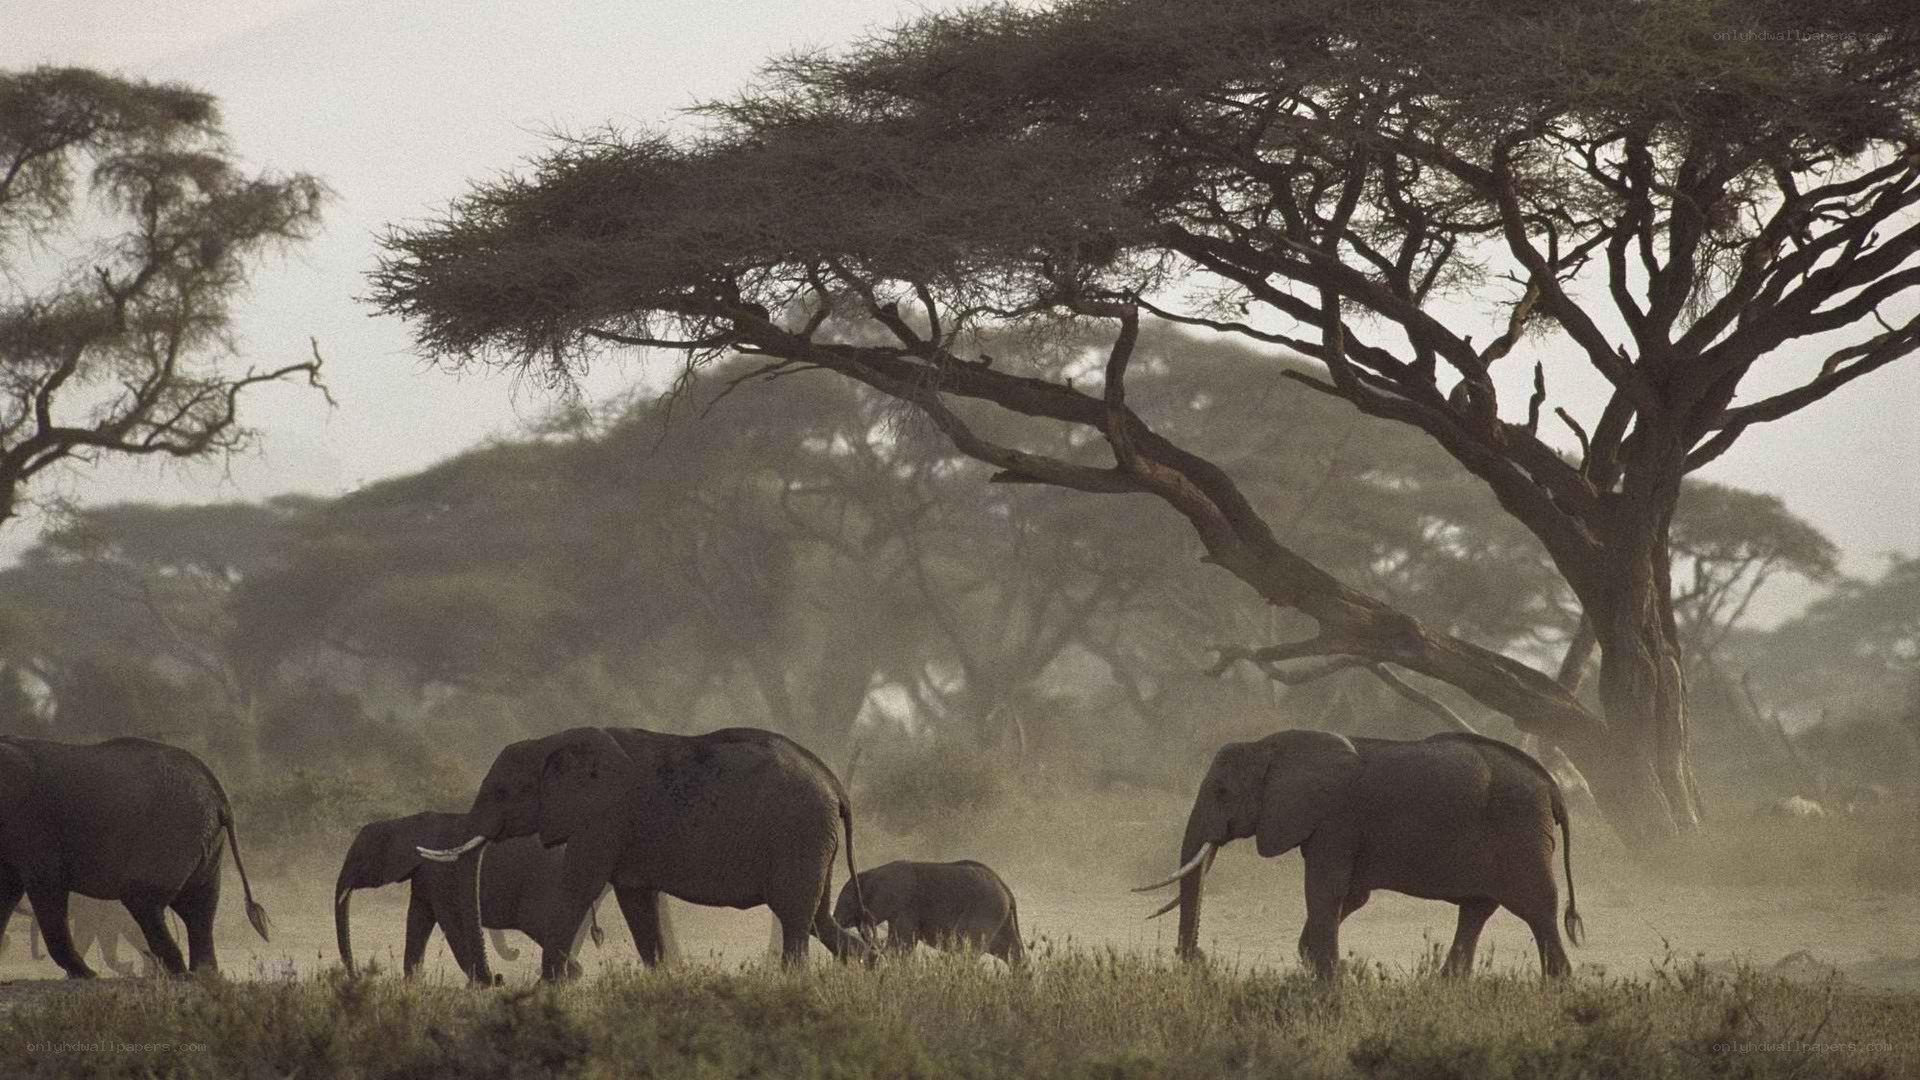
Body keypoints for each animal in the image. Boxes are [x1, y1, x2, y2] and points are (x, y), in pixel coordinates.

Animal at [0, 736, 270, 977]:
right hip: (206, 839)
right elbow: (8, 889)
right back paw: (202, 974)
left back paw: (179, 974)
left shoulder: (36, 830)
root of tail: (219, 794)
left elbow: (45, 885)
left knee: (143, 896)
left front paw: (87, 975)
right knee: (199, 907)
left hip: (173, 830)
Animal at [335, 811, 652, 982]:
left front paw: (480, 986)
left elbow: (448, 921)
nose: (357, 975)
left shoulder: (438, 873)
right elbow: (418, 921)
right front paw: (412, 985)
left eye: (358, 858)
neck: (403, 822)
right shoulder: (425, 878)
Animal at [420, 725, 869, 975]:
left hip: (800, 832)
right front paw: (662, 980)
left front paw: (548, 987)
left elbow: (578, 889)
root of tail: (835, 784)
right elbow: (636, 900)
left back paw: (794, 984)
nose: (494, 980)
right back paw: (872, 969)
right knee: (817, 917)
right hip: (814, 839)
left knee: (795, 916)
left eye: (501, 792)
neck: (552, 742)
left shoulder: (603, 815)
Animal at [833, 859, 1024, 966]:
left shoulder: (906, 906)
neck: (871, 874)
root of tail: (1007, 891)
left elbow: (902, 945)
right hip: (1000, 917)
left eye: (846, 902)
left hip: (986, 910)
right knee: (1010, 951)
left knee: (968, 950)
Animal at [1136, 730, 1582, 980]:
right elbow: (1349, 896)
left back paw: (1557, 989)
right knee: (1476, 911)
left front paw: (1331, 981)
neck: (1268, 746)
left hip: (1521, 835)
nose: (1197, 960)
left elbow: (1325, 891)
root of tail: (1553, 786)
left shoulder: (1336, 819)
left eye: (1222, 791)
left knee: (1536, 909)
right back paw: (1445, 988)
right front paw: (1335, 971)